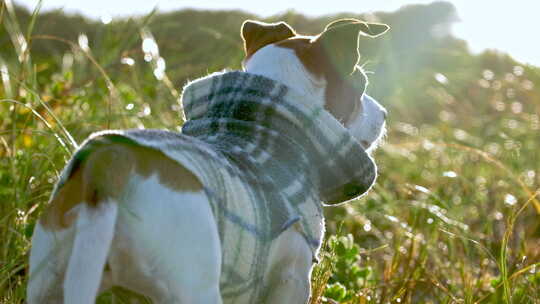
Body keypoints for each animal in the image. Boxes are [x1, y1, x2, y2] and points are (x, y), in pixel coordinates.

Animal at [26, 19, 388, 304]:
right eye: (361, 85)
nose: (384, 113)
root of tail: (113, 158)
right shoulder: (291, 278)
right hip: (192, 284)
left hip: (52, 277)